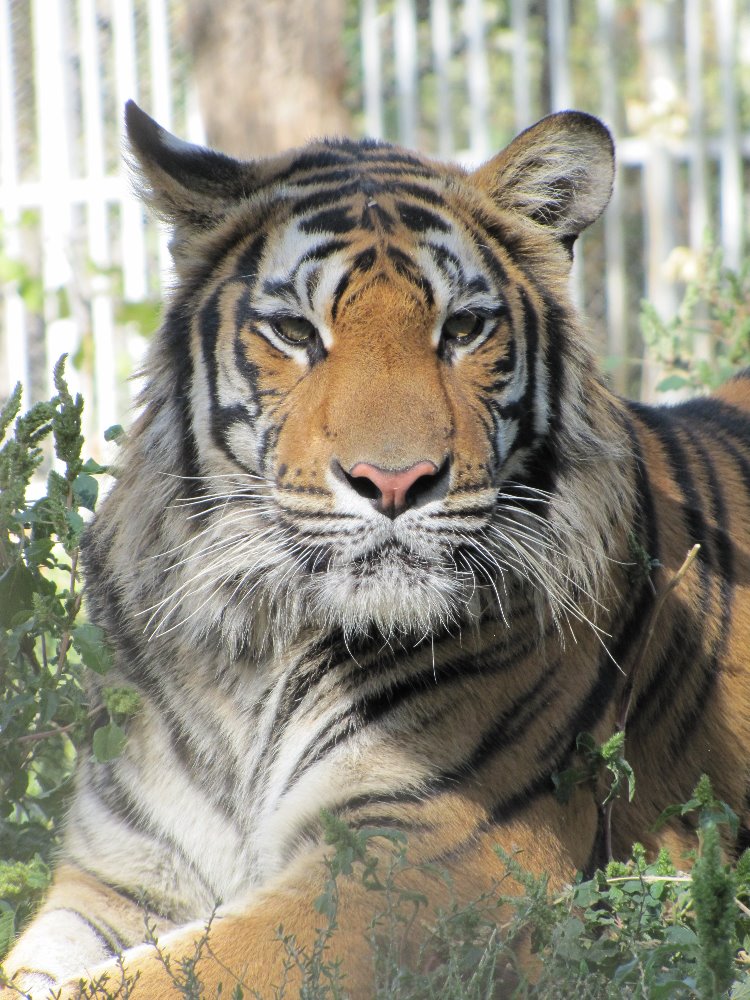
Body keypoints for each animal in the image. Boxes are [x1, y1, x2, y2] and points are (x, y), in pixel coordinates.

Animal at [4, 100, 750, 999]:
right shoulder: (116, 875)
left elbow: (168, 975)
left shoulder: (417, 863)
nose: (394, 482)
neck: (251, 649)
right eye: (295, 330)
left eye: (462, 328)